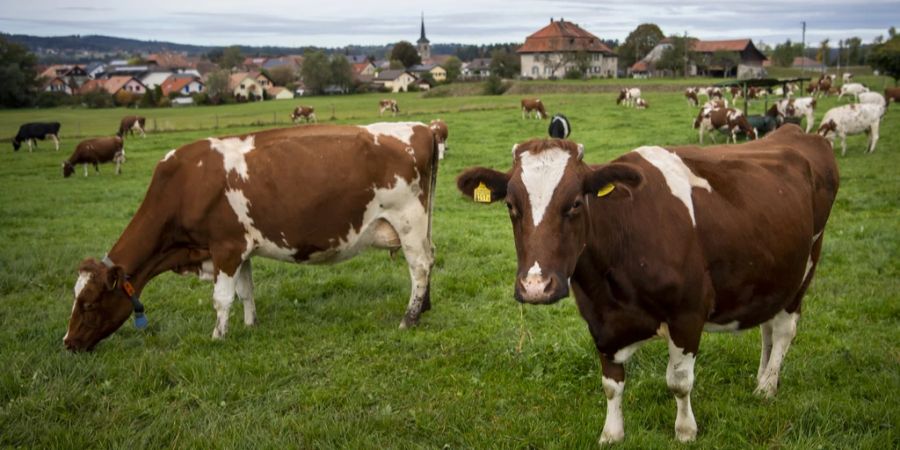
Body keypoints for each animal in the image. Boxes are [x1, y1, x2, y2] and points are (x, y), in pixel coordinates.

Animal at [61, 122, 442, 352]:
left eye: (89, 303)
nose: (68, 342)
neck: (183, 185)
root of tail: (422, 128)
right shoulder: (239, 248)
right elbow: (245, 291)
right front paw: (249, 326)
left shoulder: (225, 248)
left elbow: (221, 298)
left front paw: (217, 336)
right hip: (420, 225)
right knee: (430, 258)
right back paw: (424, 307)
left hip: (408, 220)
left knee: (420, 267)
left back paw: (409, 318)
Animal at [460, 125, 840, 444]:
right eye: (511, 205)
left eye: (576, 203)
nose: (536, 287)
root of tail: (794, 132)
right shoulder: (601, 318)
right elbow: (611, 384)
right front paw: (612, 433)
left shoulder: (688, 313)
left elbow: (679, 381)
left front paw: (685, 431)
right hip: (771, 275)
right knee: (767, 328)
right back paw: (763, 380)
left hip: (805, 266)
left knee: (785, 329)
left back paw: (766, 387)